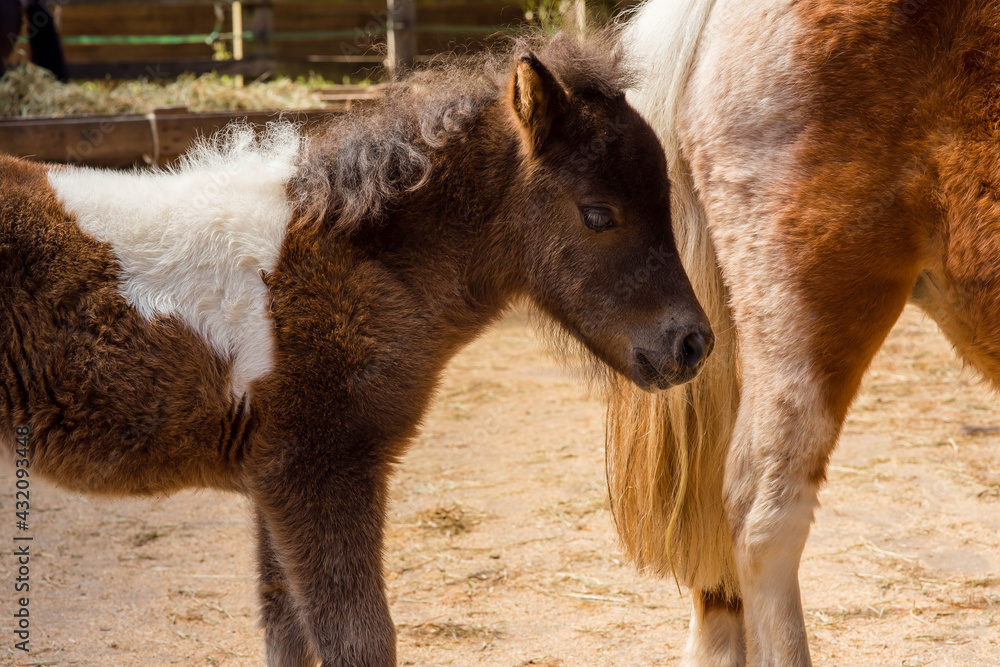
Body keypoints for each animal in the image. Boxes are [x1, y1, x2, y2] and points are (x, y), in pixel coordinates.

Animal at [0, 34, 714, 665]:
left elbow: (285, 631)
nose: (692, 344)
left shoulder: (271, 480)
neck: (351, 262)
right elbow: (359, 640)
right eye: (598, 214)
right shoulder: (320, 468)